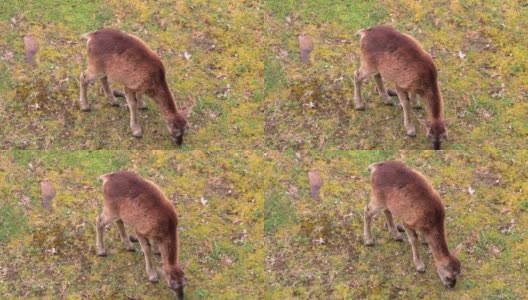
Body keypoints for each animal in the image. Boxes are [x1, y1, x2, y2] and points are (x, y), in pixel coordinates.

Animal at [96, 170, 189, 298]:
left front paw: (157, 251)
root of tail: (106, 177)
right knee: (99, 220)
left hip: (119, 211)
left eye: (185, 283)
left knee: (119, 221)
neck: (167, 228)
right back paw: (102, 251)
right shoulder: (140, 230)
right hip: (110, 209)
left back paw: (129, 245)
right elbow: (147, 249)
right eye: (170, 285)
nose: (181, 297)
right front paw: (152, 275)